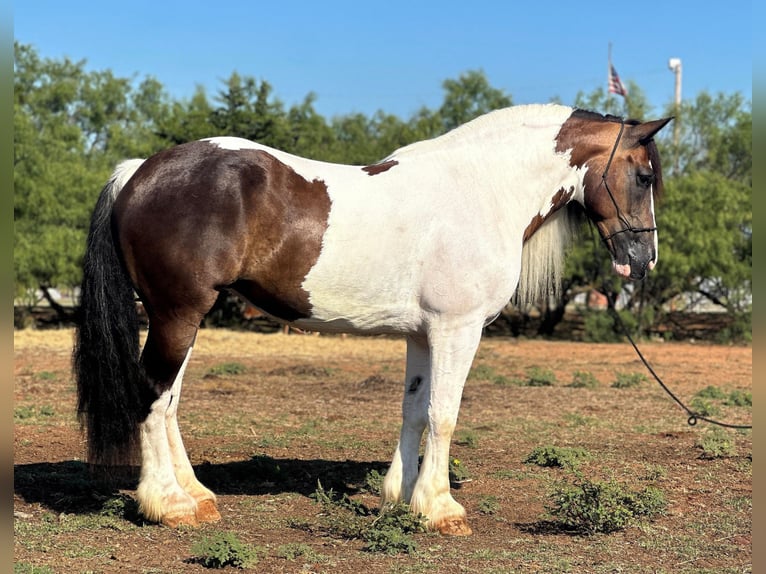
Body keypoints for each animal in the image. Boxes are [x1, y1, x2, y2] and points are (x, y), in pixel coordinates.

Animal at [73, 102, 672, 536]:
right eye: (644, 176)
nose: (643, 260)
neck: (481, 191)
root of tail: (139, 172)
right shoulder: (457, 329)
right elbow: (444, 415)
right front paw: (440, 509)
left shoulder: (424, 335)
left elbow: (414, 411)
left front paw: (401, 497)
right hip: (176, 314)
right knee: (151, 394)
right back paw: (168, 504)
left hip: (185, 317)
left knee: (169, 400)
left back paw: (196, 495)